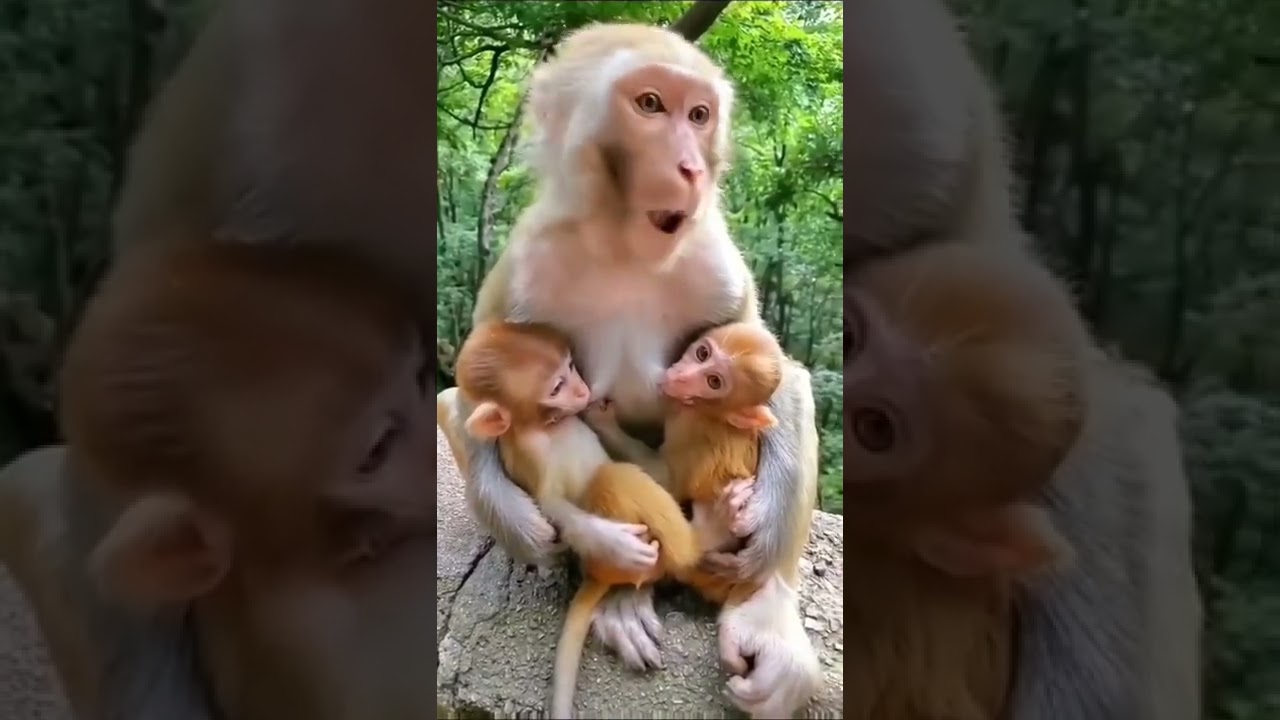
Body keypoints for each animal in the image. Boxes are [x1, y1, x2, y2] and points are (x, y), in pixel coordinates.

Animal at [452, 319, 700, 719]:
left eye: (570, 365)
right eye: (556, 386)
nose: (583, 389)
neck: (548, 426)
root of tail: (596, 574)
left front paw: (603, 415)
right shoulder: (533, 455)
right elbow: (552, 505)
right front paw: (615, 543)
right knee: (612, 477)